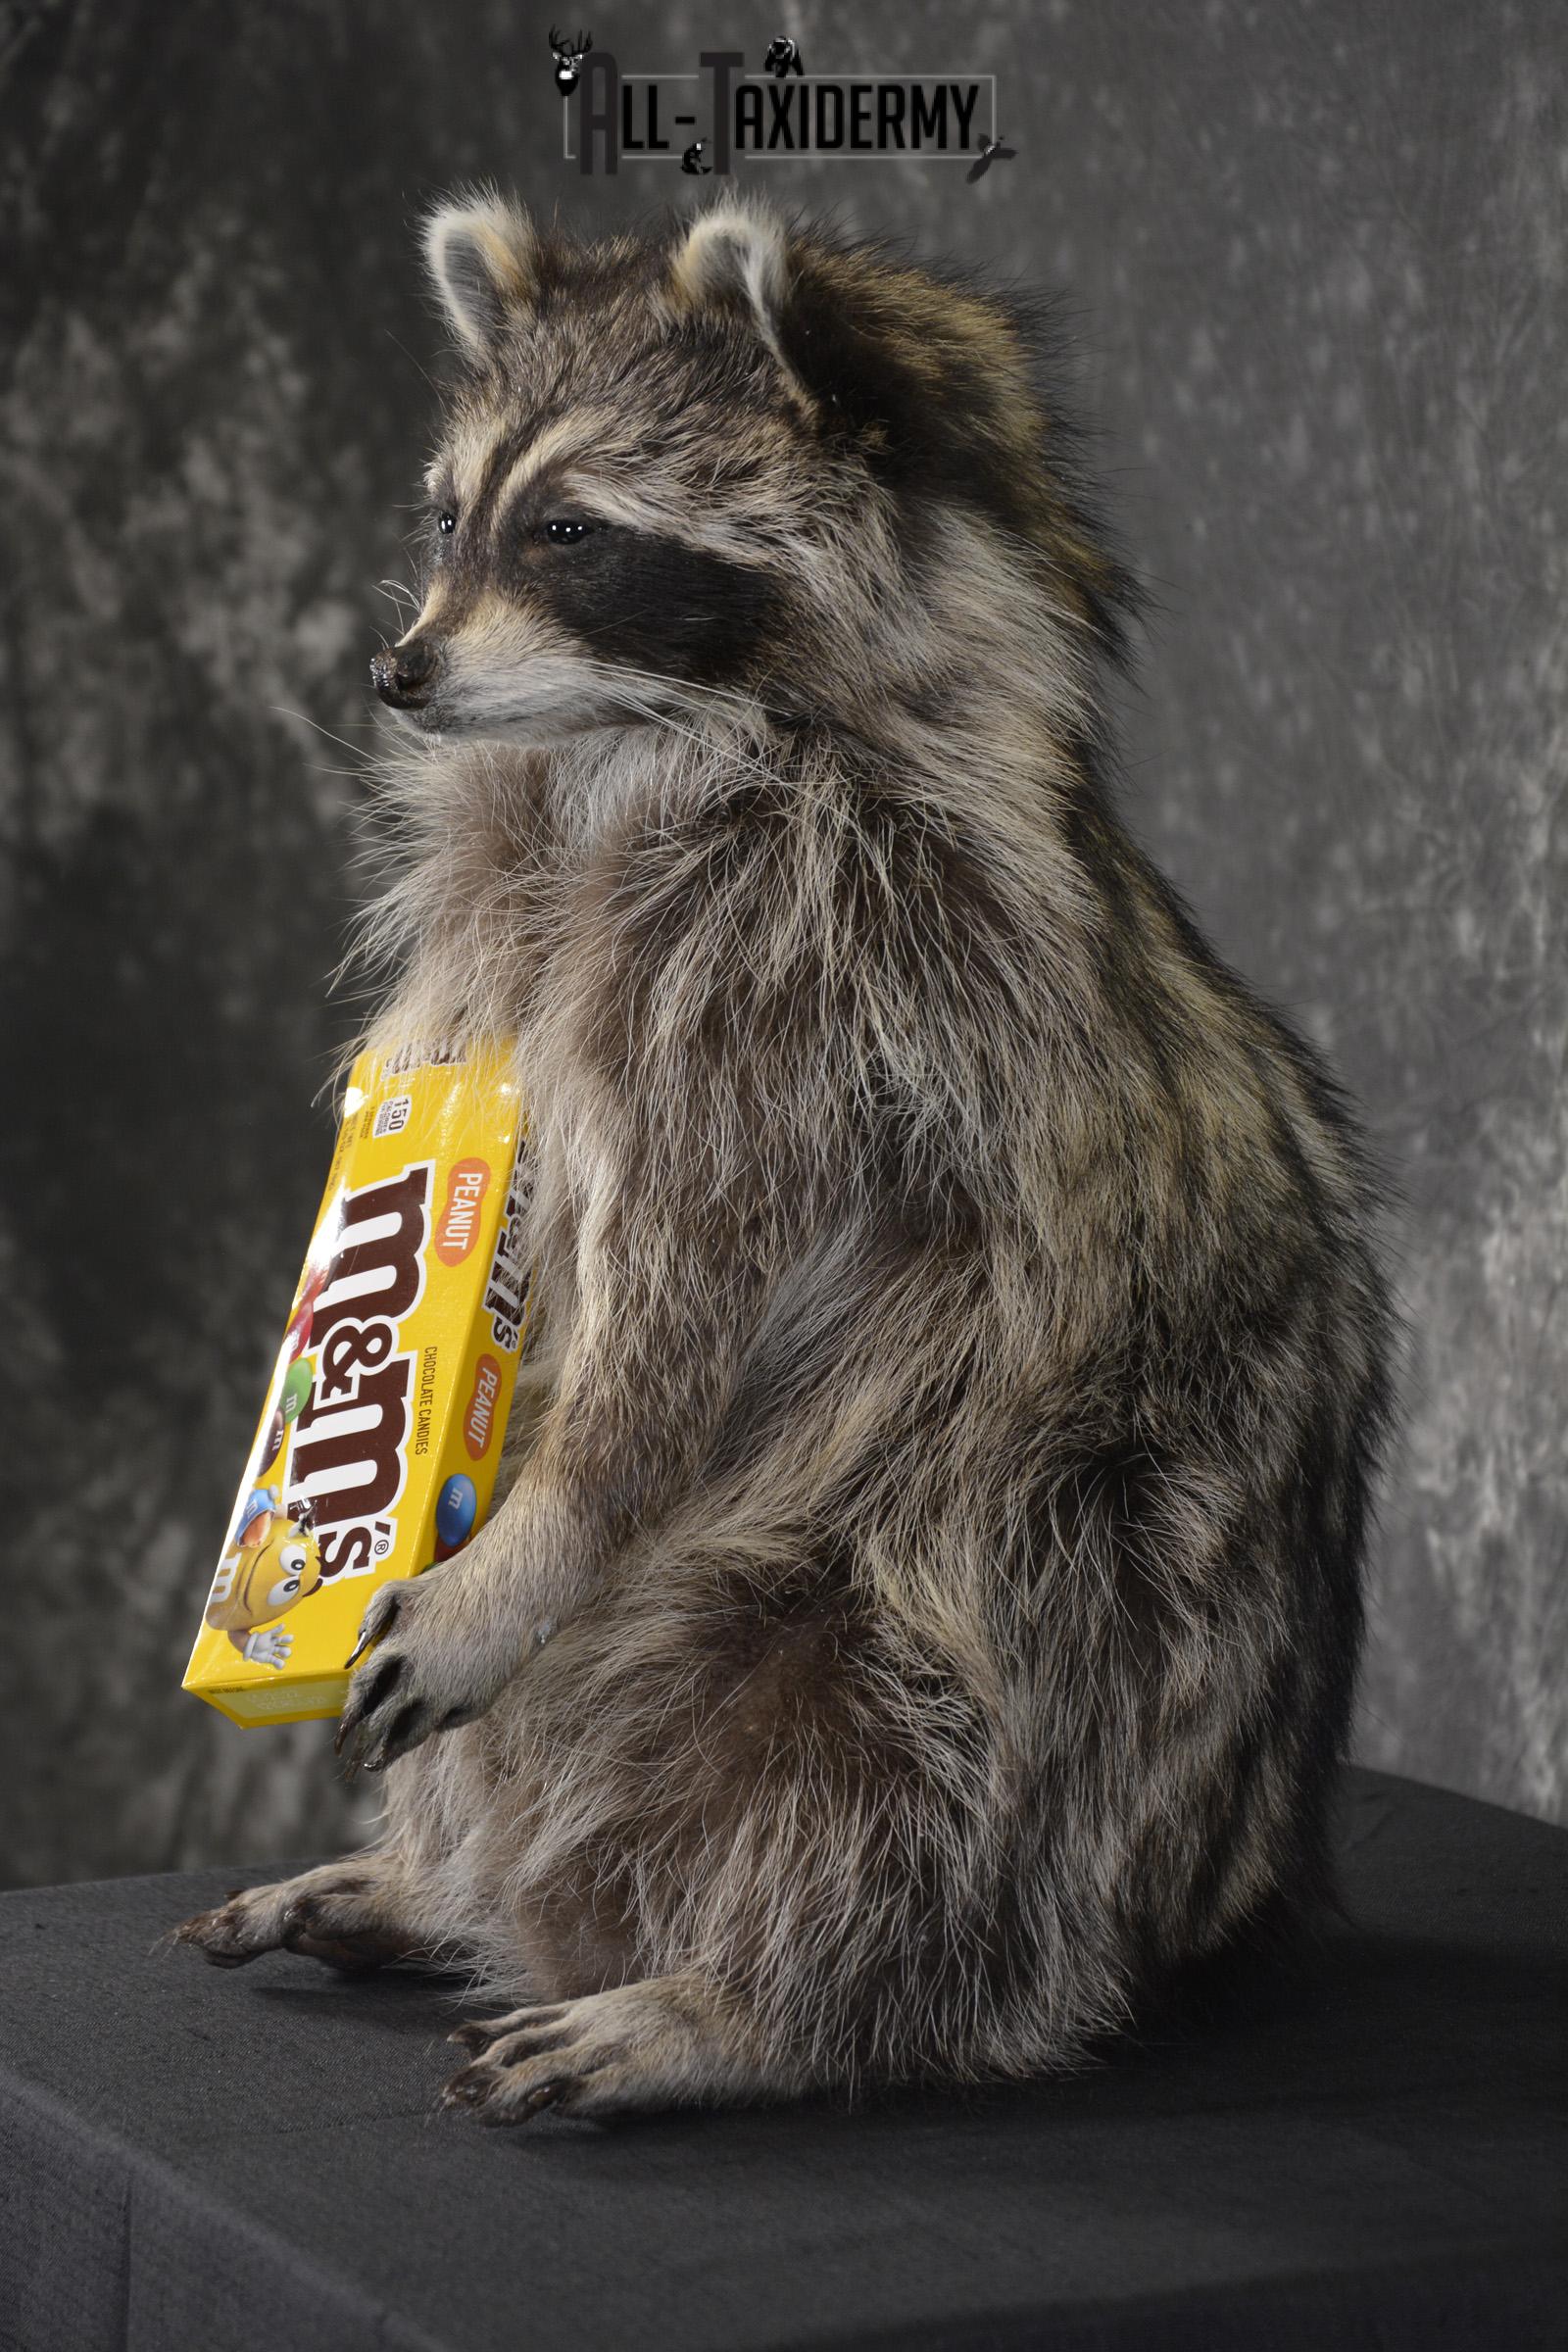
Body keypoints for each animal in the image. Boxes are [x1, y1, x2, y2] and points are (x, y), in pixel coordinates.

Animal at [179, 195, 1395, 2122]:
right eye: (450, 517)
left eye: (572, 530)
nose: (398, 670)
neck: (630, 739)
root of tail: (1215, 1894)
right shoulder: (556, 956)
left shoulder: (816, 979)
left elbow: (677, 1332)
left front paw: (524, 1544)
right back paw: (446, 1885)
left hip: (1049, 1572)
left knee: (934, 1756)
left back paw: (751, 2002)